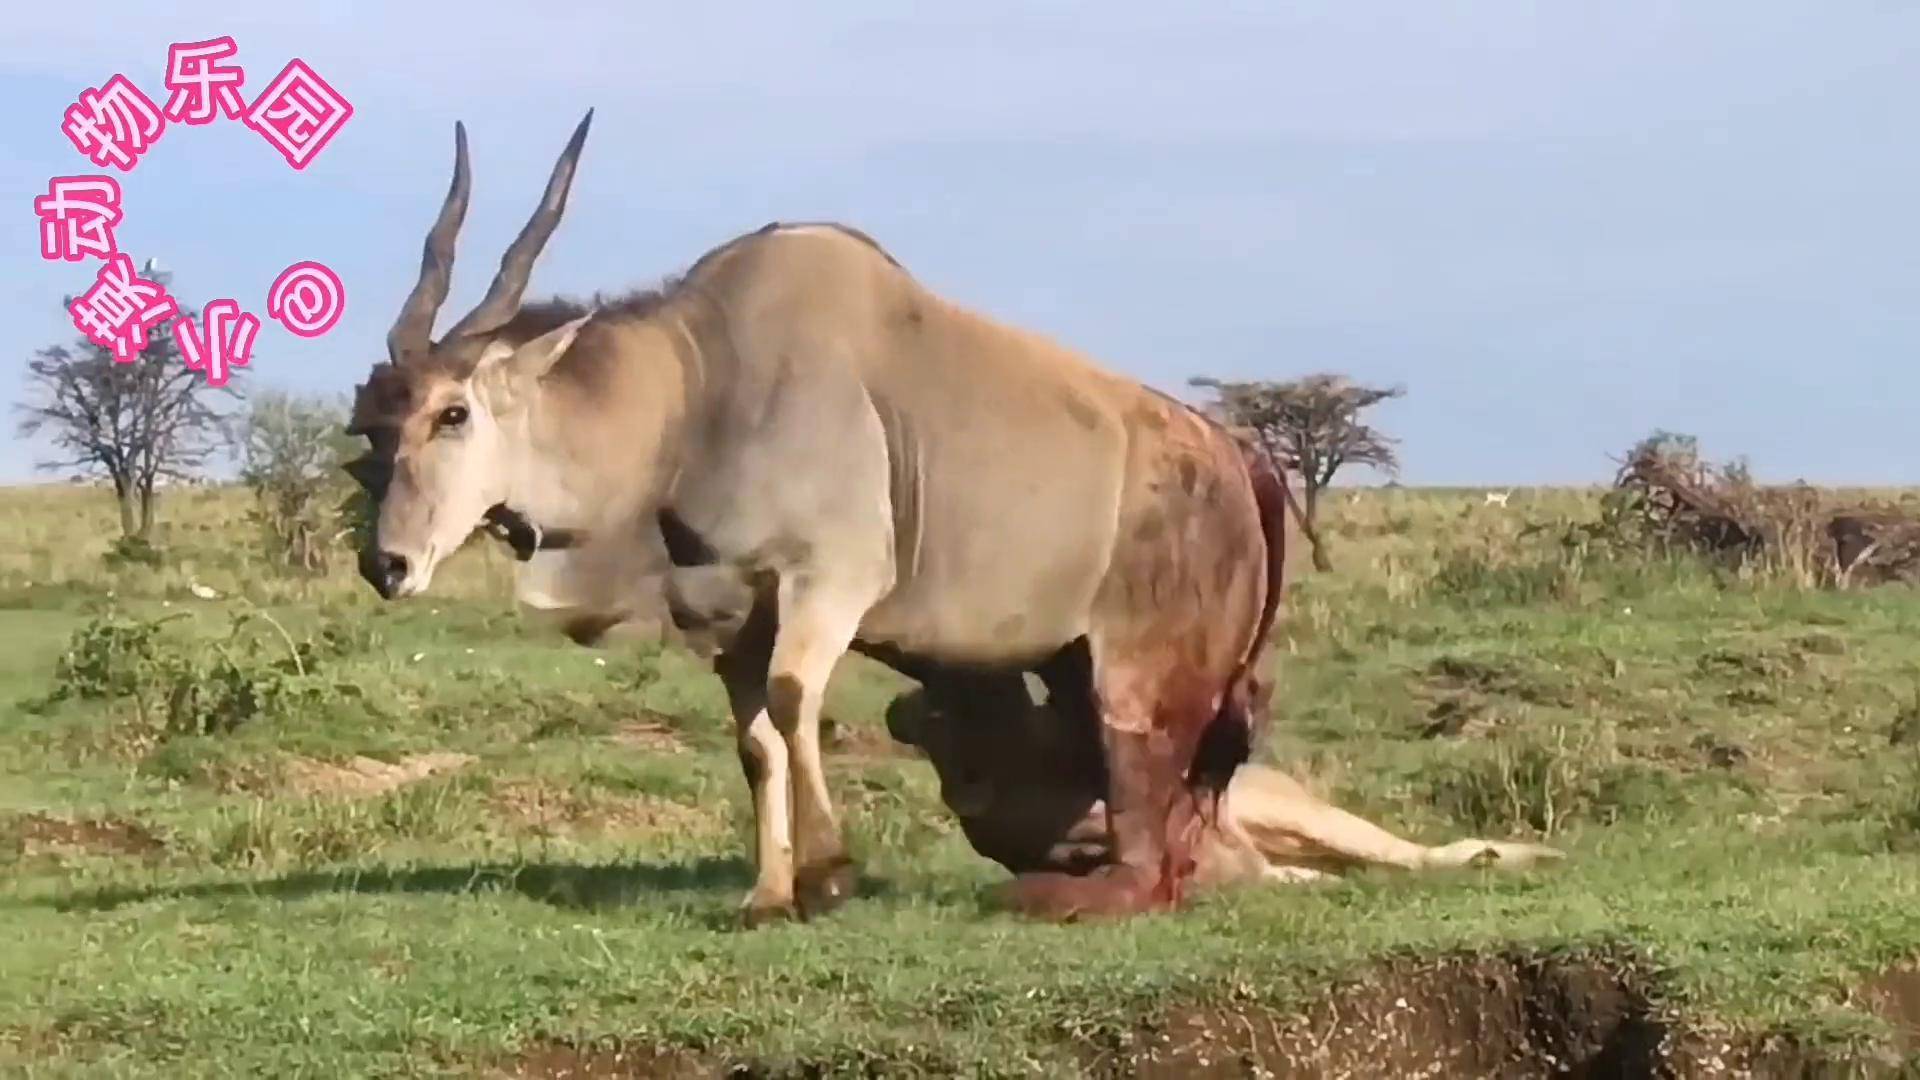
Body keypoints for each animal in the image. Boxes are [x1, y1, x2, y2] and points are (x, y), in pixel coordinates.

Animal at [347, 111, 1290, 926]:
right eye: (379, 427)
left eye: (453, 413)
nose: (386, 565)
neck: (699, 390)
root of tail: (1242, 460)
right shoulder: (734, 620)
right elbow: (756, 739)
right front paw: (769, 894)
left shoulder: (829, 581)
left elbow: (795, 697)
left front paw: (830, 873)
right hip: (1069, 674)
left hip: (1133, 689)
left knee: (1152, 862)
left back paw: (1045, 891)